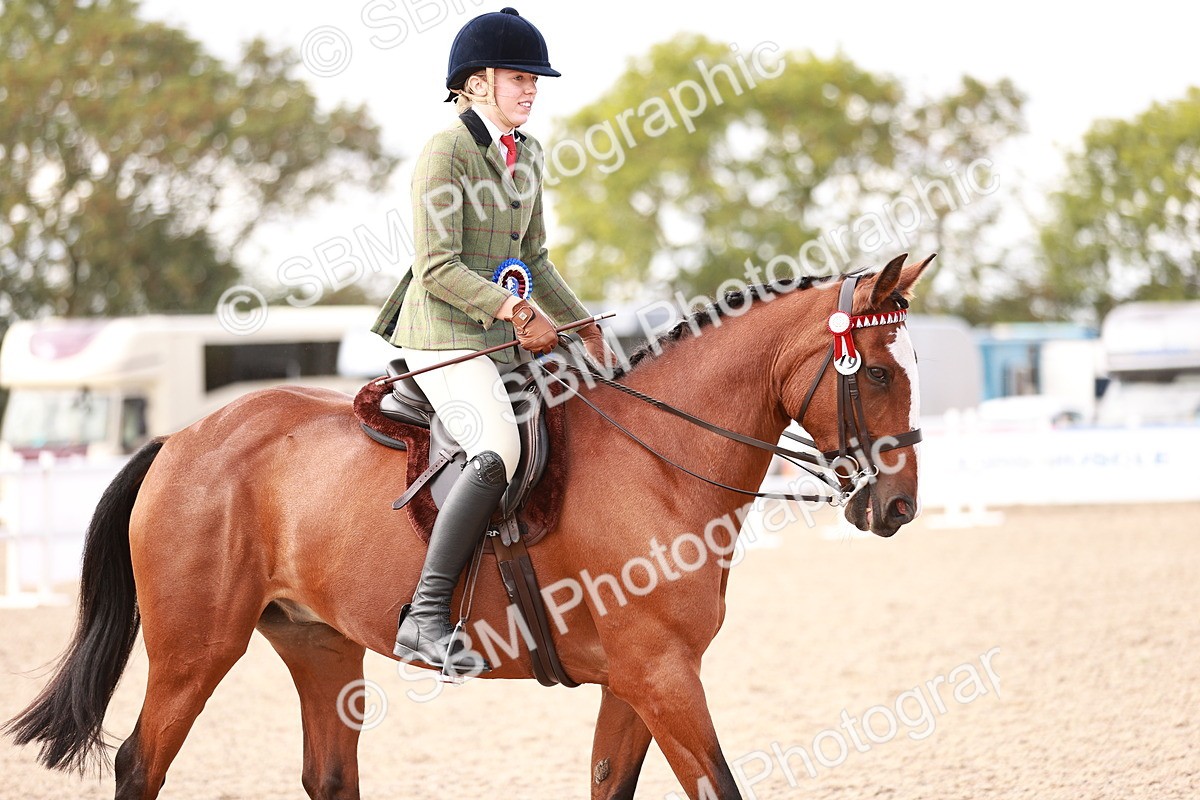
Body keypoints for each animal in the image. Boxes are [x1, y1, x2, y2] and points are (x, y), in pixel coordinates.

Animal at [5, 253, 932, 799]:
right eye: (879, 373)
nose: (898, 507)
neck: (663, 462)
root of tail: (183, 438)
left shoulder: (640, 681)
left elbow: (610, 783)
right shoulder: (662, 675)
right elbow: (719, 788)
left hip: (317, 643)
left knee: (328, 776)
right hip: (196, 649)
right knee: (141, 763)